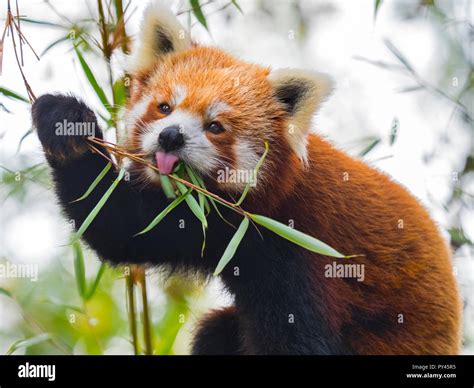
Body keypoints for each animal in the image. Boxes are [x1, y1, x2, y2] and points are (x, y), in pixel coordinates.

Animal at [31, 3, 462, 354]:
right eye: (164, 107)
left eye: (215, 126)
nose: (170, 136)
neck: (253, 215)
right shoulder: (201, 223)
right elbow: (120, 226)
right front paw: (65, 125)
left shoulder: (300, 254)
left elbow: (296, 342)